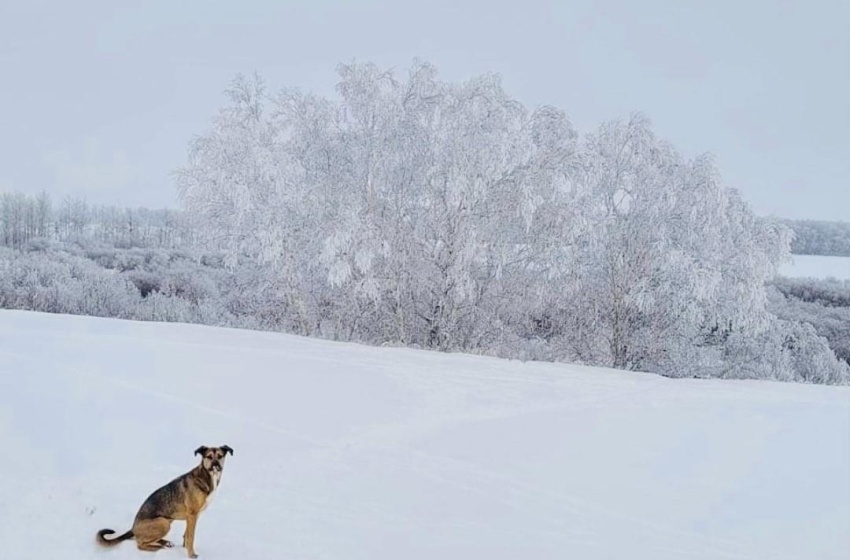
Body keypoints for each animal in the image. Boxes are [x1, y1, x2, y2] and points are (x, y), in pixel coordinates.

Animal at [97, 444, 232, 556]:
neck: (208, 477)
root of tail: (133, 528)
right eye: (209, 457)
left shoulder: (193, 517)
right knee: (140, 544)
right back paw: (159, 548)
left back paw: (166, 543)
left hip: (168, 520)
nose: (216, 466)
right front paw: (191, 555)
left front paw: (184, 548)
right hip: (163, 522)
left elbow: (187, 536)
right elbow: (191, 537)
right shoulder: (192, 515)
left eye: (220, 456)